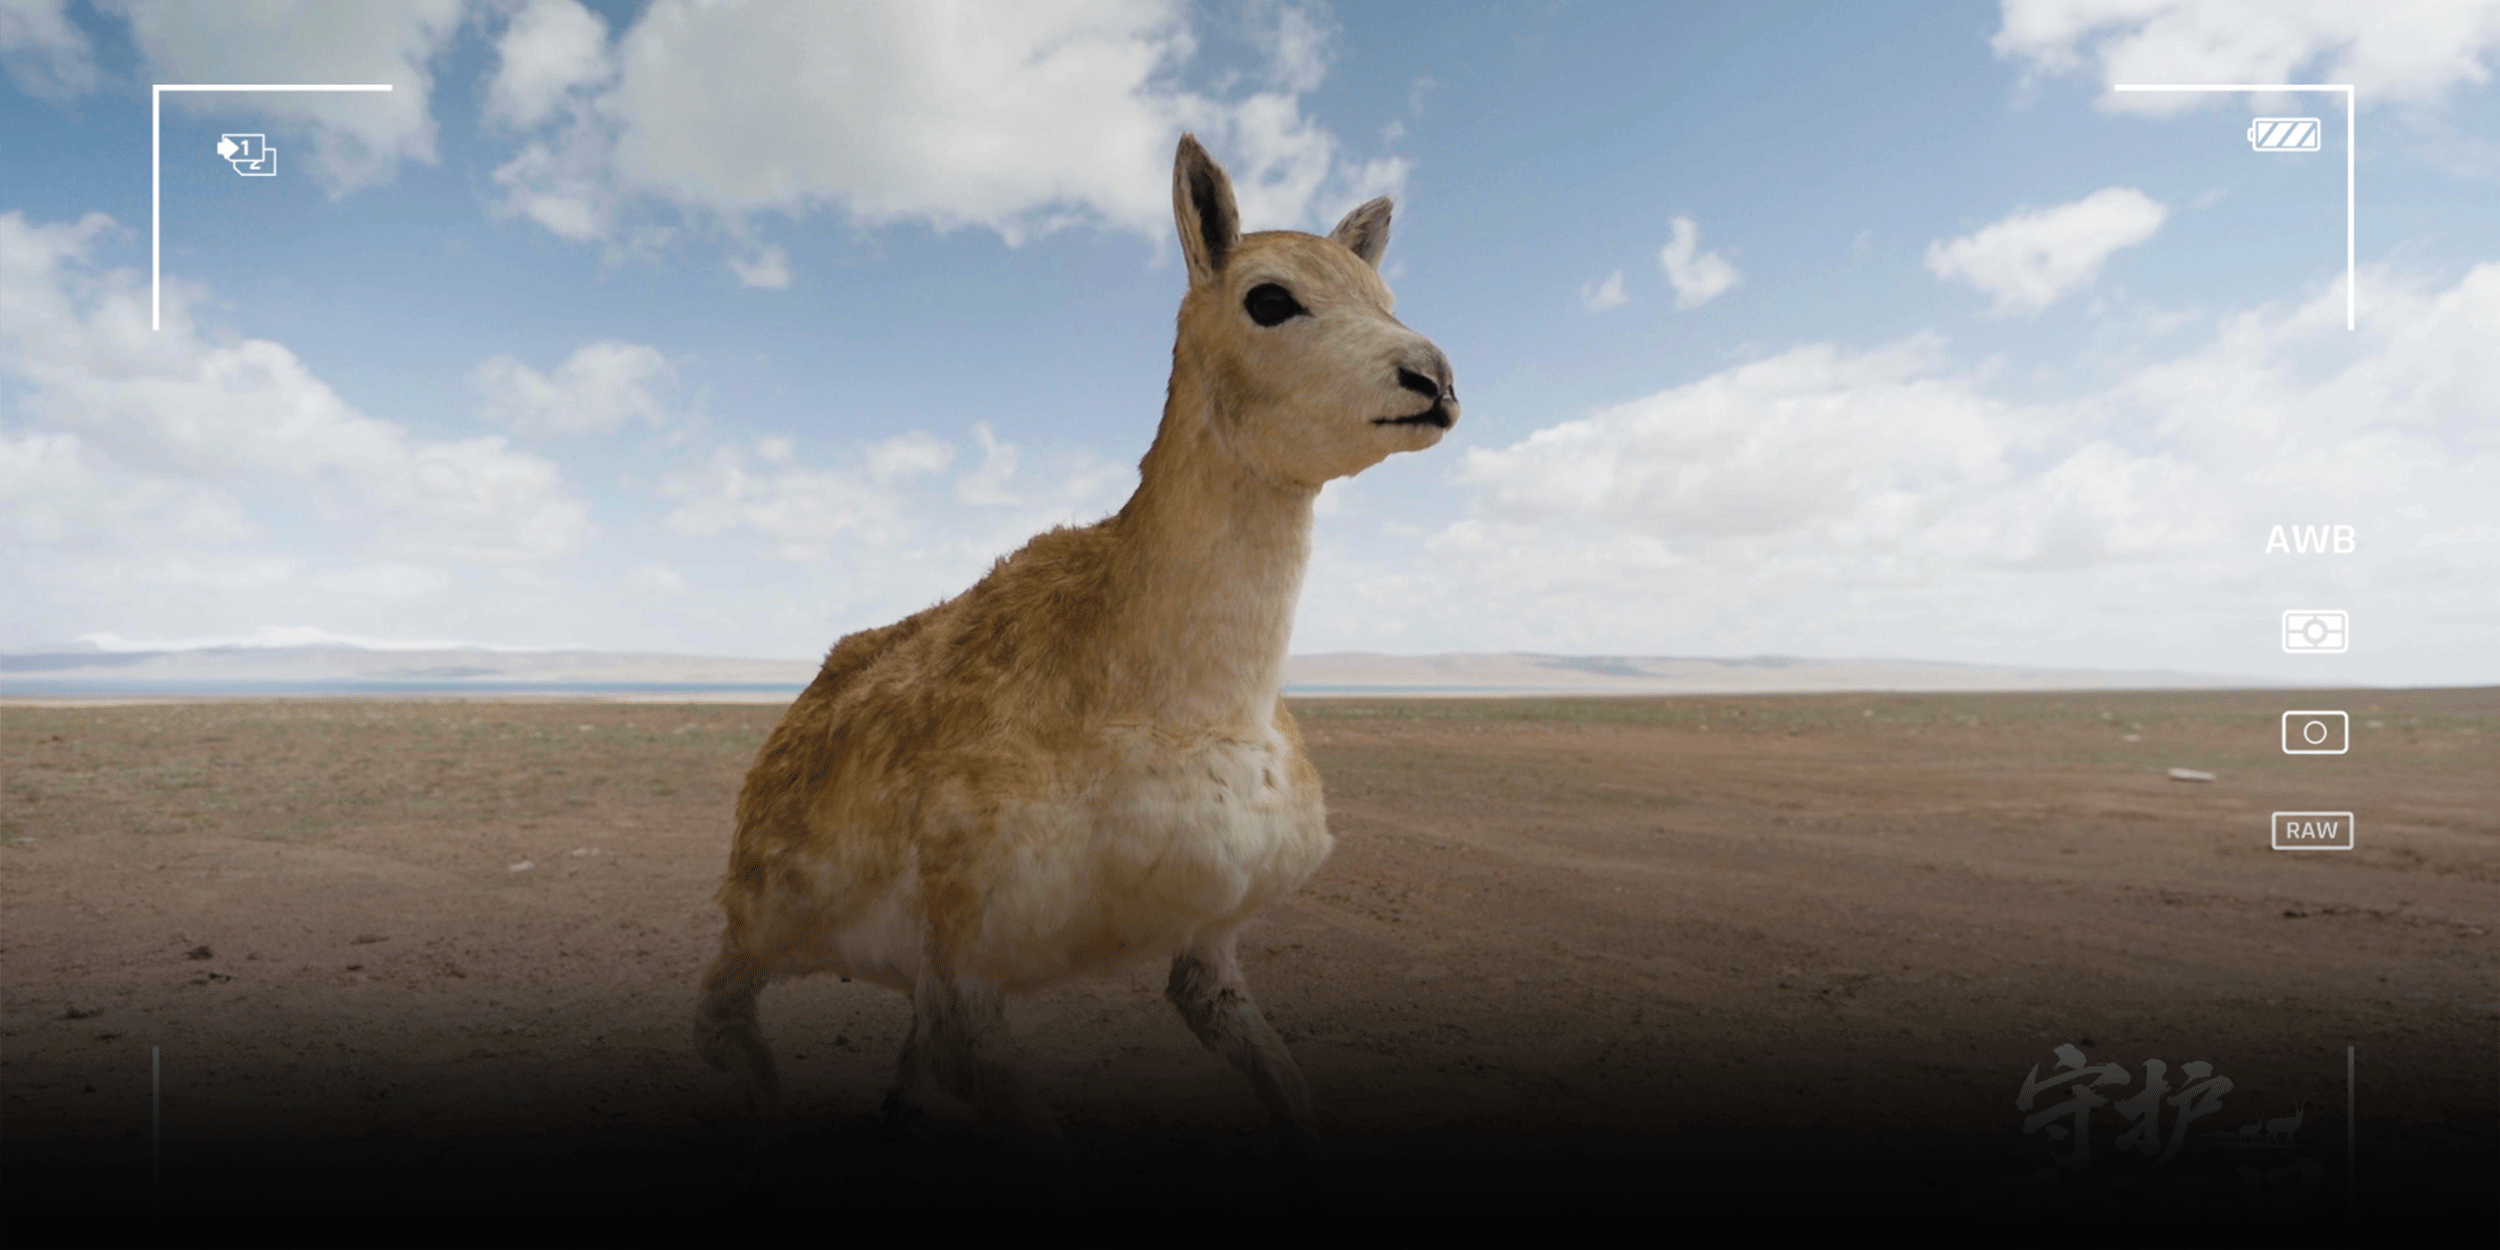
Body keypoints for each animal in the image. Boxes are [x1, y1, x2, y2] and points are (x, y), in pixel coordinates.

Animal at [693, 134, 1459, 1163]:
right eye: (1270, 298)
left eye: (1385, 296)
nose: (1435, 379)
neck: (1184, 705)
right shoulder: (969, 970)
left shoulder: (1206, 945)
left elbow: (1278, 1076)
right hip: (761, 924)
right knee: (721, 1020)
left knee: (896, 1062)